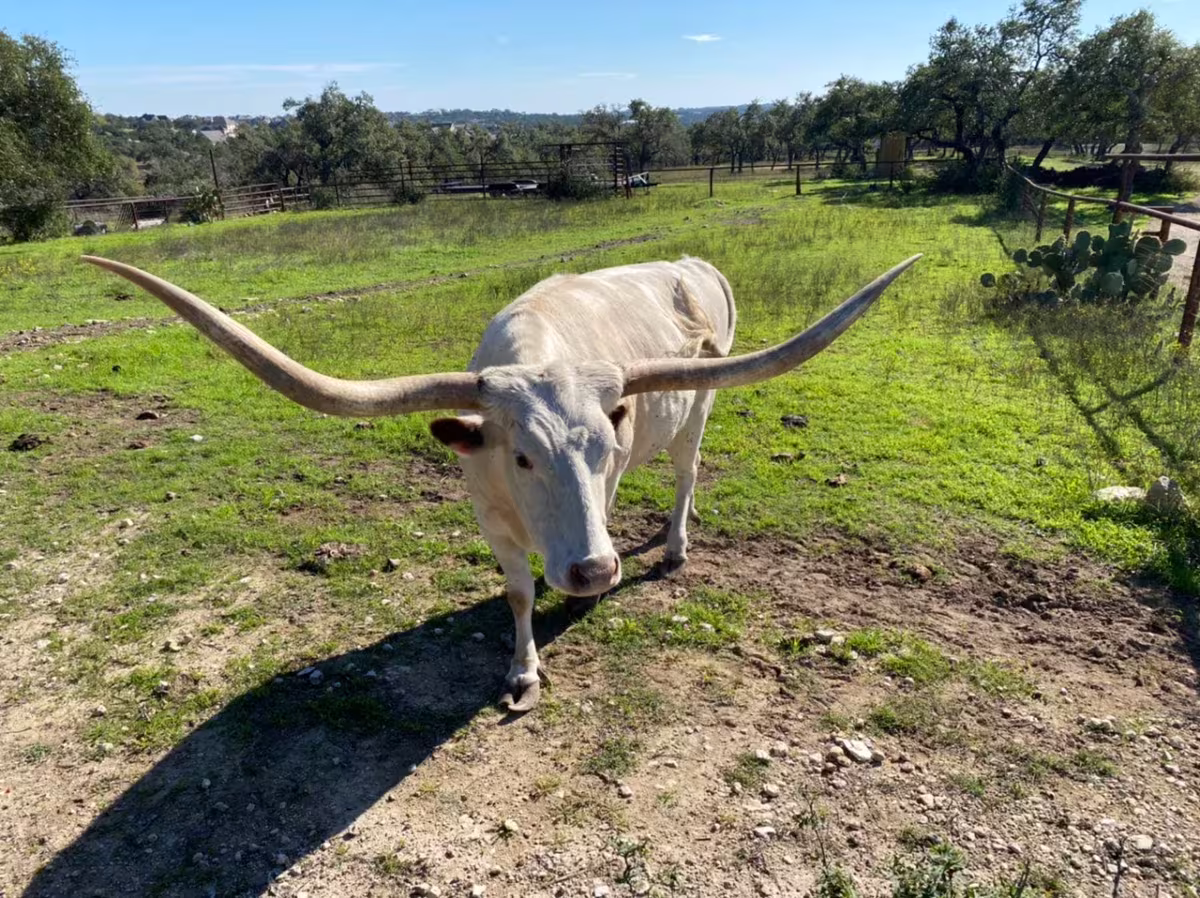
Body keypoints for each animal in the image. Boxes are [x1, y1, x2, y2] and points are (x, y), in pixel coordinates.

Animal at [82, 253, 920, 711]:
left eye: (602, 444)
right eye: (521, 457)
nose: (595, 570)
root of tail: (695, 265)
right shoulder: (488, 514)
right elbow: (518, 593)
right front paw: (524, 669)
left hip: (700, 408)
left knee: (685, 476)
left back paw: (674, 544)